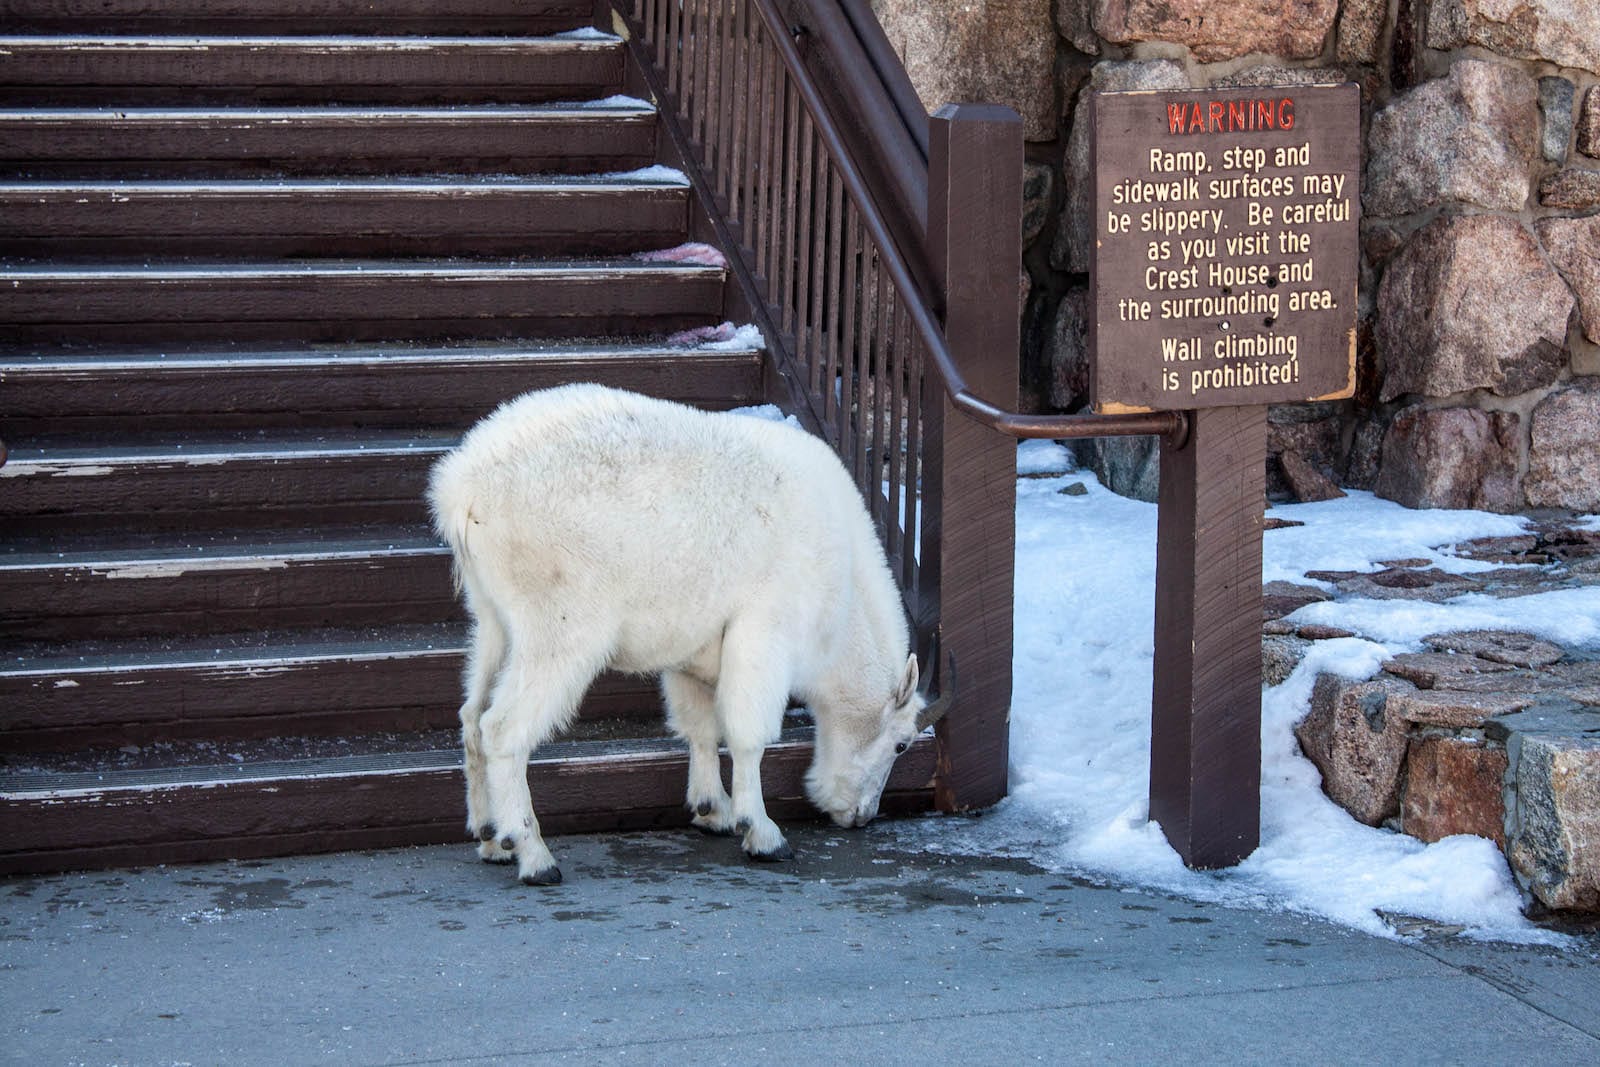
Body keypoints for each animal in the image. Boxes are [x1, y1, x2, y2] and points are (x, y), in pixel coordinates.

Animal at [428, 383, 947, 883]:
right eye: (901, 744)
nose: (861, 815)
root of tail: (462, 491)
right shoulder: (764, 631)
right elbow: (749, 733)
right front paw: (762, 833)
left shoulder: (694, 652)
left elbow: (700, 726)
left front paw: (711, 810)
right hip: (559, 626)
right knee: (504, 727)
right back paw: (533, 855)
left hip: (492, 620)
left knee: (472, 715)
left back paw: (492, 840)